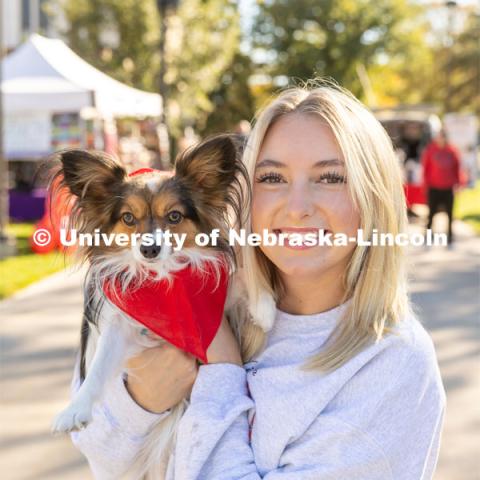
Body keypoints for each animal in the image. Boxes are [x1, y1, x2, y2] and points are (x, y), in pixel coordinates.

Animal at [50, 135, 276, 480]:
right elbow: (100, 367)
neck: (165, 280)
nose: (149, 249)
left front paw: (265, 309)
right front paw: (75, 409)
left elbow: (237, 281)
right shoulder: (120, 328)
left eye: (174, 217)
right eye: (128, 218)